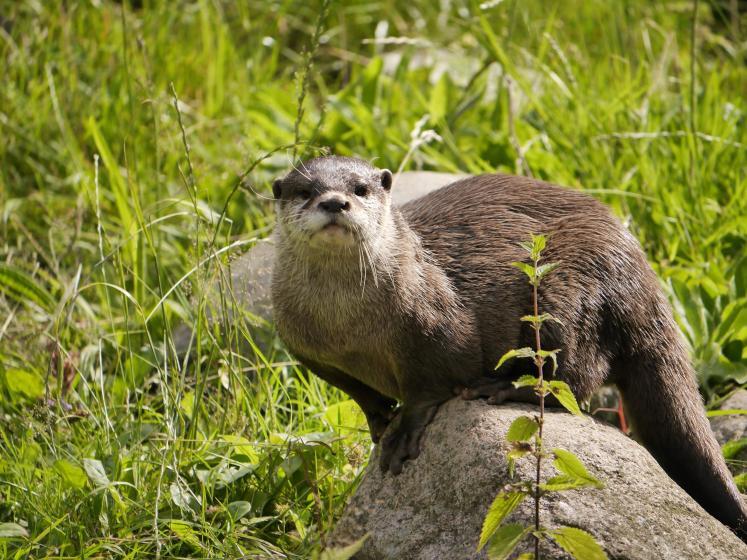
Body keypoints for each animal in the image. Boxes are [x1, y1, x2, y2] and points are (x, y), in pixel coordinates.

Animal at [270, 156, 747, 541]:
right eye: (305, 191)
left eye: (360, 189)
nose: (335, 203)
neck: (348, 330)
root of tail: (641, 271)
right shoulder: (304, 348)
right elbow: (357, 391)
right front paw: (378, 420)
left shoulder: (438, 327)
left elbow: (429, 383)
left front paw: (403, 430)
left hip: (569, 291)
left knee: (576, 374)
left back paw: (503, 387)